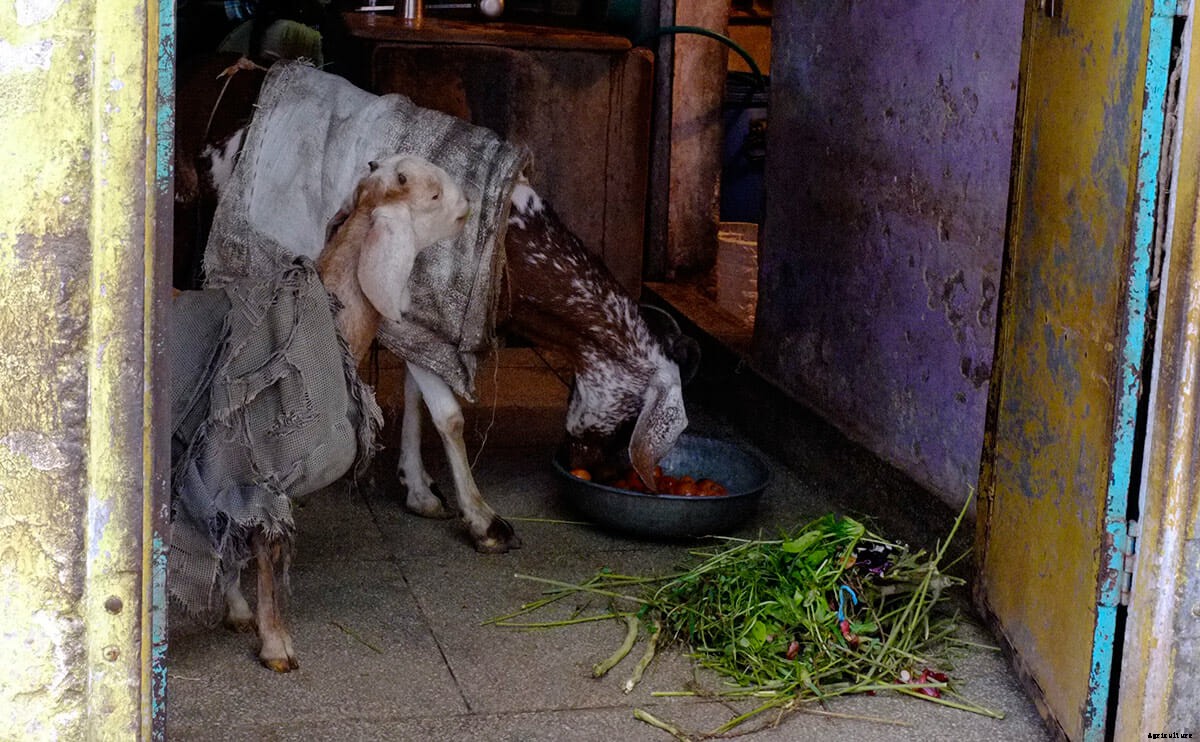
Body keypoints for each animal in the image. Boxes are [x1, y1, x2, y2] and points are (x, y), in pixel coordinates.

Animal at [174, 154, 470, 672]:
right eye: (433, 194)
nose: (469, 205)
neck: (331, 319)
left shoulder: (224, 473)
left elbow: (229, 538)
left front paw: (238, 612)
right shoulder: (263, 471)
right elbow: (266, 552)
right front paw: (277, 646)